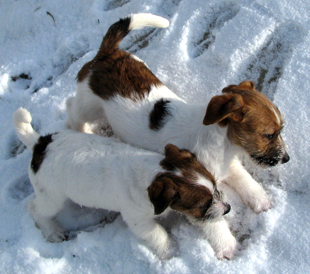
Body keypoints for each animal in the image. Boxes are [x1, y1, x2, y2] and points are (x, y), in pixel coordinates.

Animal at [13, 107, 236, 260]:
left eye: (216, 187)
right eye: (203, 204)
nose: (228, 208)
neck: (152, 176)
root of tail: (40, 144)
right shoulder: (138, 221)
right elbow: (158, 234)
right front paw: (170, 250)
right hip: (51, 196)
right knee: (35, 208)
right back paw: (52, 232)